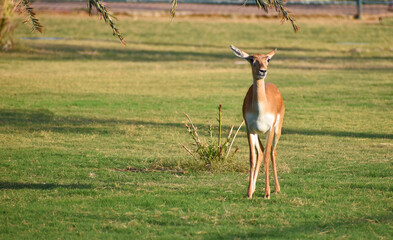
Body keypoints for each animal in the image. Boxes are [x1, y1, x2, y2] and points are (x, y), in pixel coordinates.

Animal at [228, 45, 284, 199]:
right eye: (251, 59)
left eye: (268, 59)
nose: (262, 71)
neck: (260, 109)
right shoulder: (250, 129)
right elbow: (252, 158)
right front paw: (249, 192)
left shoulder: (269, 129)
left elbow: (267, 158)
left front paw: (267, 193)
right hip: (258, 134)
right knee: (261, 153)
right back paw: (253, 189)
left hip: (277, 130)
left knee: (272, 153)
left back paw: (276, 189)